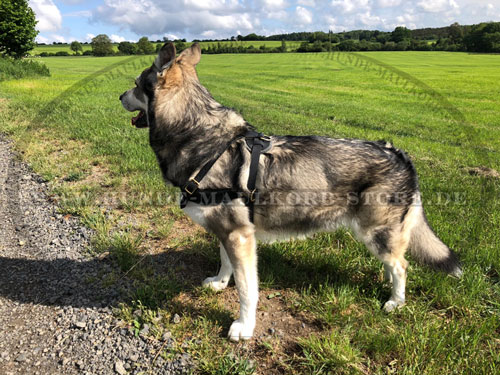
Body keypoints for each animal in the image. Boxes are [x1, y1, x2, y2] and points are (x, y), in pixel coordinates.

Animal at [120, 42, 460, 342]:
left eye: (136, 84)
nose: (120, 95)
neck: (202, 139)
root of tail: (399, 153)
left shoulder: (240, 238)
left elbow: (247, 291)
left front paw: (244, 327)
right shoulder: (228, 233)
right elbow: (225, 264)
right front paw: (219, 283)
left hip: (375, 233)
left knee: (402, 266)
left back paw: (395, 302)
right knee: (395, 264)